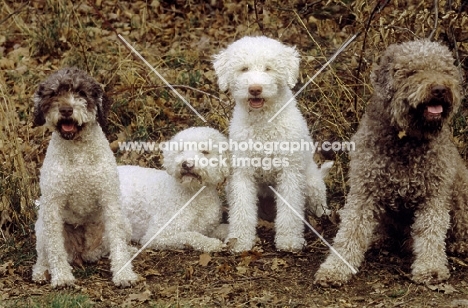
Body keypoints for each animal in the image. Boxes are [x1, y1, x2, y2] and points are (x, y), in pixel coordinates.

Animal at [31, 68, 135, 288]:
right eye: (53, 93)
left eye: (81, 93)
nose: (66, 110)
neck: (78, 153)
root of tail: (82, 251)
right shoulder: (52, 206)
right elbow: (55, 248)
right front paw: (62, 277)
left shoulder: (110, 200)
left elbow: (118, 243)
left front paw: (124, 274)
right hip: (41, 227)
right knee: (43, 255)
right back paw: (42, 272)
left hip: (124, 222)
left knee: (113, 244)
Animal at [213, 36, 332, 253]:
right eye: (244, 68)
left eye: (269, 68)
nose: (255, 89)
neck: (264, 123)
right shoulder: (242, 174)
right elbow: (242, 210)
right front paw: (239, 241)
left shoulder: (290, 173)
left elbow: (290, 212)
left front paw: (289, 241)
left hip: (312, 185)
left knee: (319, 205)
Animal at [314, 40, 468, 286]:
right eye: (412, 72)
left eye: (445, 71)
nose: (440, 89)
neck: (406, 139)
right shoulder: (364, 191)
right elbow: (350, 231)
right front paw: (336, 268)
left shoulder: (433, 195)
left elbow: (431, 232)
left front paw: (431, 268)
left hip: (460, 192)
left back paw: (458, 244)